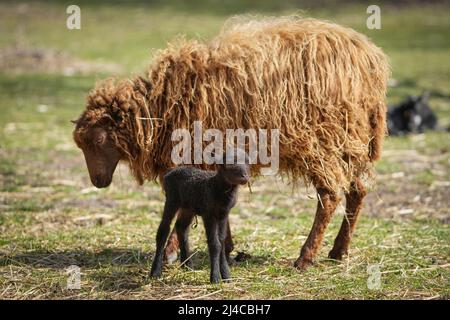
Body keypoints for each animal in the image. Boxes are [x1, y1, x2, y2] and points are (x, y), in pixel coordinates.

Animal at [150, 150, 250, 282]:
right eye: (228, 163)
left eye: (248, 161)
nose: (245, 177)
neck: (216, 187)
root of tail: (171, 172)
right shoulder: (209, 214)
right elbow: (215, 244)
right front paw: (215, 278)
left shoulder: (223, 214)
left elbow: (221, 242)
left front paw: (226, 275)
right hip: (172, 199)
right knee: (163, 230)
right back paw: (155, 272)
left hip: (188, 207)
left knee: (181, 228)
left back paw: (187, 266)